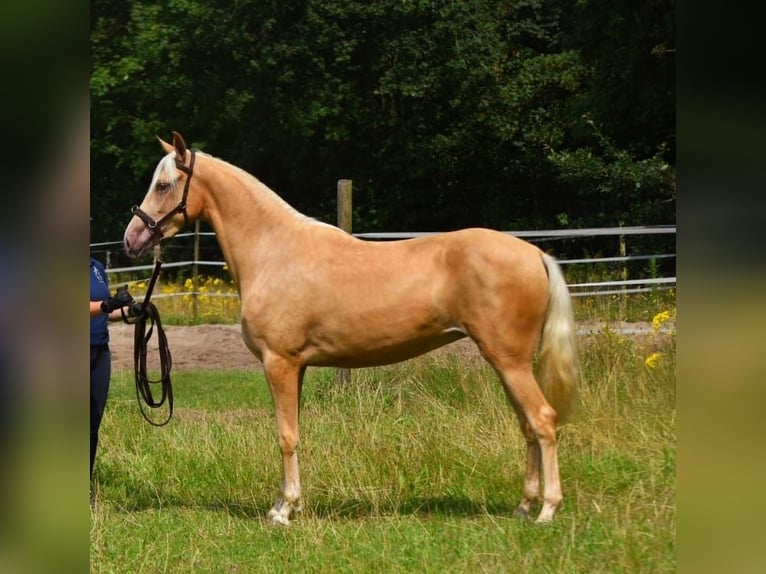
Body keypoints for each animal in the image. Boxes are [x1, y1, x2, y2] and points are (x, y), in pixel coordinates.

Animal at [126, 132, 580, 528]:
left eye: (164, 185)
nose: (131, 240)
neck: (273, 251)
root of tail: (534, 253)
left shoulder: (279, 363)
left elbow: (285, 435)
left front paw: (283, 512)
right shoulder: (297, 367)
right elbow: (294, 432)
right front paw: (289, 504)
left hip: (509, 361)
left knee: (542, 420)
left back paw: (547, 510)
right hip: (507, 362)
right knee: (527, 426)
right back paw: (524, 507)